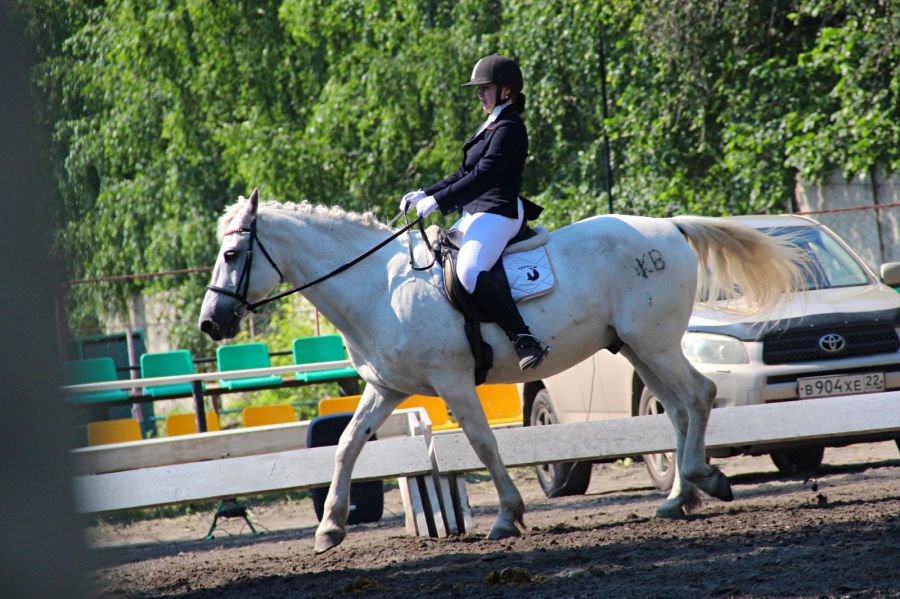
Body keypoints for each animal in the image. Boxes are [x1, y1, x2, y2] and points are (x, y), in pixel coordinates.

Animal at [199, 191, 808, 552]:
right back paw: (680, 496)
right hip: (637, 348)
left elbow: (483, 443)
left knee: (698, 396)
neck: (380, 287)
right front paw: (330, 528)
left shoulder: (451, 381)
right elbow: (347, 445)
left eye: (232, 255)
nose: (209, 322)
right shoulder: (386, 387)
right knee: (679, 409)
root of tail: (668, 227)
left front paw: (507, 516)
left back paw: (701, 482)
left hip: (653, 343)